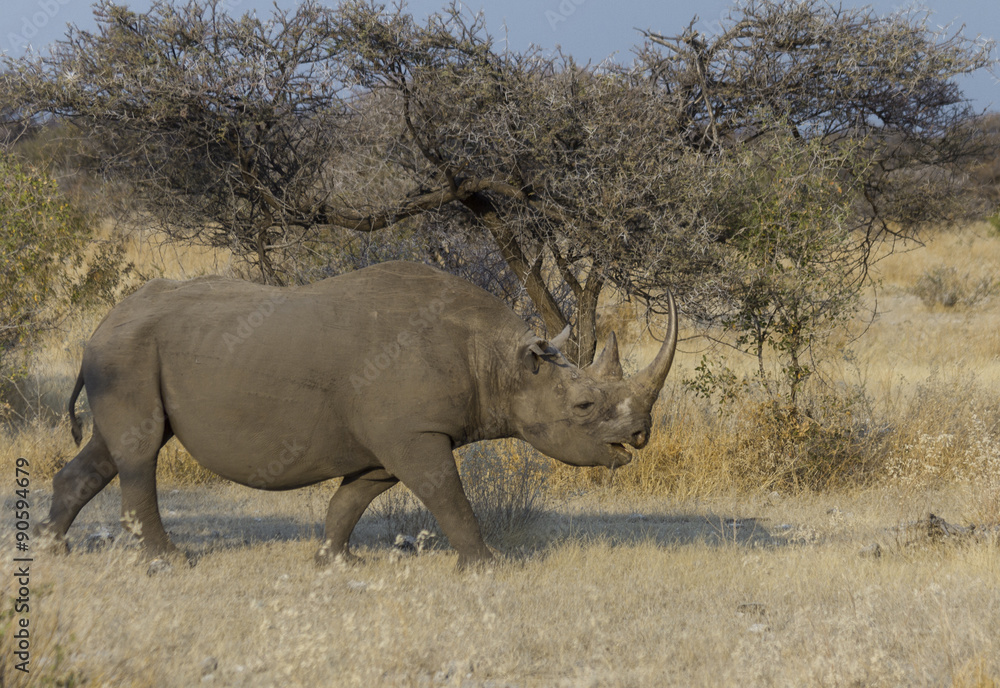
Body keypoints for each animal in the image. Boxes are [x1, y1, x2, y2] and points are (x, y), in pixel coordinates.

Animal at [38, 261, 677, 568]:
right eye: (585, 406)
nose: (641, 435)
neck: (501, 361)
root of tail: (100, 327)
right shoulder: (415, 432)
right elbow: (448, 495)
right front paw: (487, 566)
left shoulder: (391, 440)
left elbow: (353, 498)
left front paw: (335, 561)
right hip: (127, 351)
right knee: (140, 451)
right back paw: (171, 562)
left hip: (123, 353)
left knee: (111, 449)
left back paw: (52, 550)